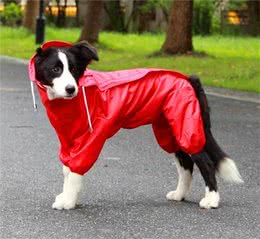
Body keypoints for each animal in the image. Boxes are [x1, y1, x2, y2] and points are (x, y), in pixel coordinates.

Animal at [29, 40, 243, 210]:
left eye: (74, 70)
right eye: (55, 69)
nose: (70, 89)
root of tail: (188, 79)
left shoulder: (90, 139)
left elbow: (75, 170)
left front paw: (68, 202)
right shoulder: (68, 138)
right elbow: (67, 169)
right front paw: (68, 197)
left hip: (187, 125)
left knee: (205, 162)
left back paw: (211, 200)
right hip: (170, 130)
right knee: (186, 163)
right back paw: (179, 194)